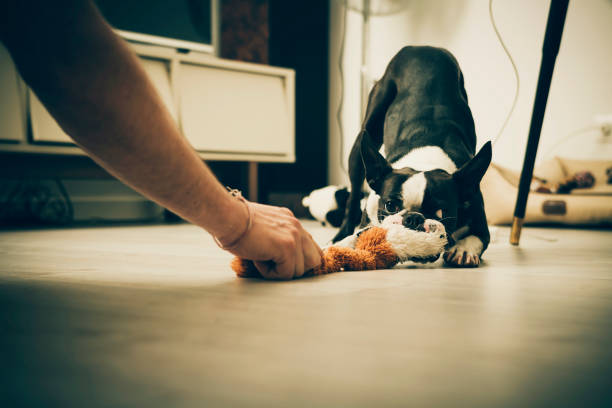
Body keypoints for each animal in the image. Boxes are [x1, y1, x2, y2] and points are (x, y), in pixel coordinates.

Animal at [332, 46, 490, 268]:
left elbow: (476, 237)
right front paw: (344, 245)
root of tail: (424, 47)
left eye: (442, 210)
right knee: (353, 194)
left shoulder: (479, 217)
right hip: (364, 137)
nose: (413, 219)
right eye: (390, 206)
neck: (425, 158)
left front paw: (463, 249)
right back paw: (340, 233)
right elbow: (361, 232)